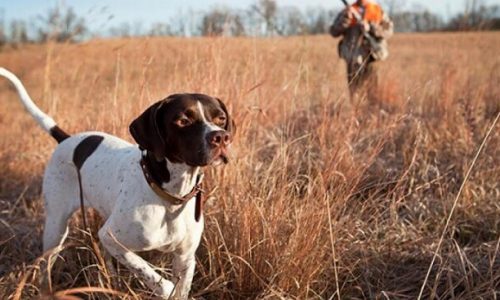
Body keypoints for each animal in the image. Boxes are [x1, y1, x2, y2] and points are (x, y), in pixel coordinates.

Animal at [0, 67, 235, 298]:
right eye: (183, 120)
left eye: (221, 118)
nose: (221, 137)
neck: (171, 196)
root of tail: (67, 139)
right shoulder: (111, 237)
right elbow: (152, 275)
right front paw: (164, 287)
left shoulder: (185, 257)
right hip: (56, 227)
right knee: (45, 266)